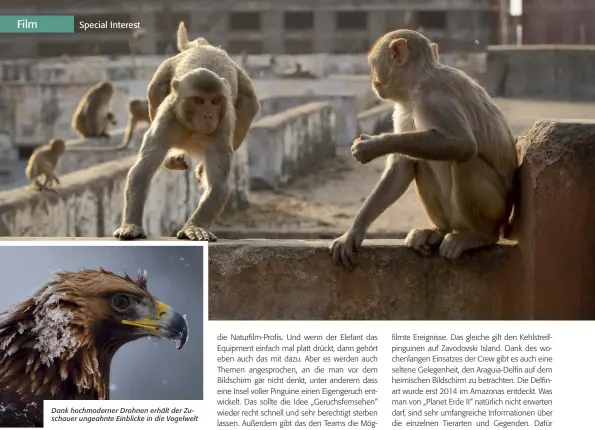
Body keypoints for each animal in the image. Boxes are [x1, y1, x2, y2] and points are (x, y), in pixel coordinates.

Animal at [114, 40, 258, 242]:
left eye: (215, 101)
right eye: (199, 100)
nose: (208, 115)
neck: (193, 129)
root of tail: (205, 46)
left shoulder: (221, 130)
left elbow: (218, 184)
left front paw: (195, 227)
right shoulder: (166, 121)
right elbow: (142, 170)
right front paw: (131, 225)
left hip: (244, 89)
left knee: (248, 108)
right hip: (163, 74)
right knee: (156, 89)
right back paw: (175, 158)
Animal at [328, 28, 520, 268]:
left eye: (373, 63)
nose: (373, 81)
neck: (416, 81)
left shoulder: (431, 96)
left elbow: (463, 144)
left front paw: (373, 145)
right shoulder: (402, 108)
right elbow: (401, 167)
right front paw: (354, 232)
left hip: (496, 208)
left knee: (465, 160)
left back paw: (479, 236)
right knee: (423, 161)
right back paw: (439, 230)